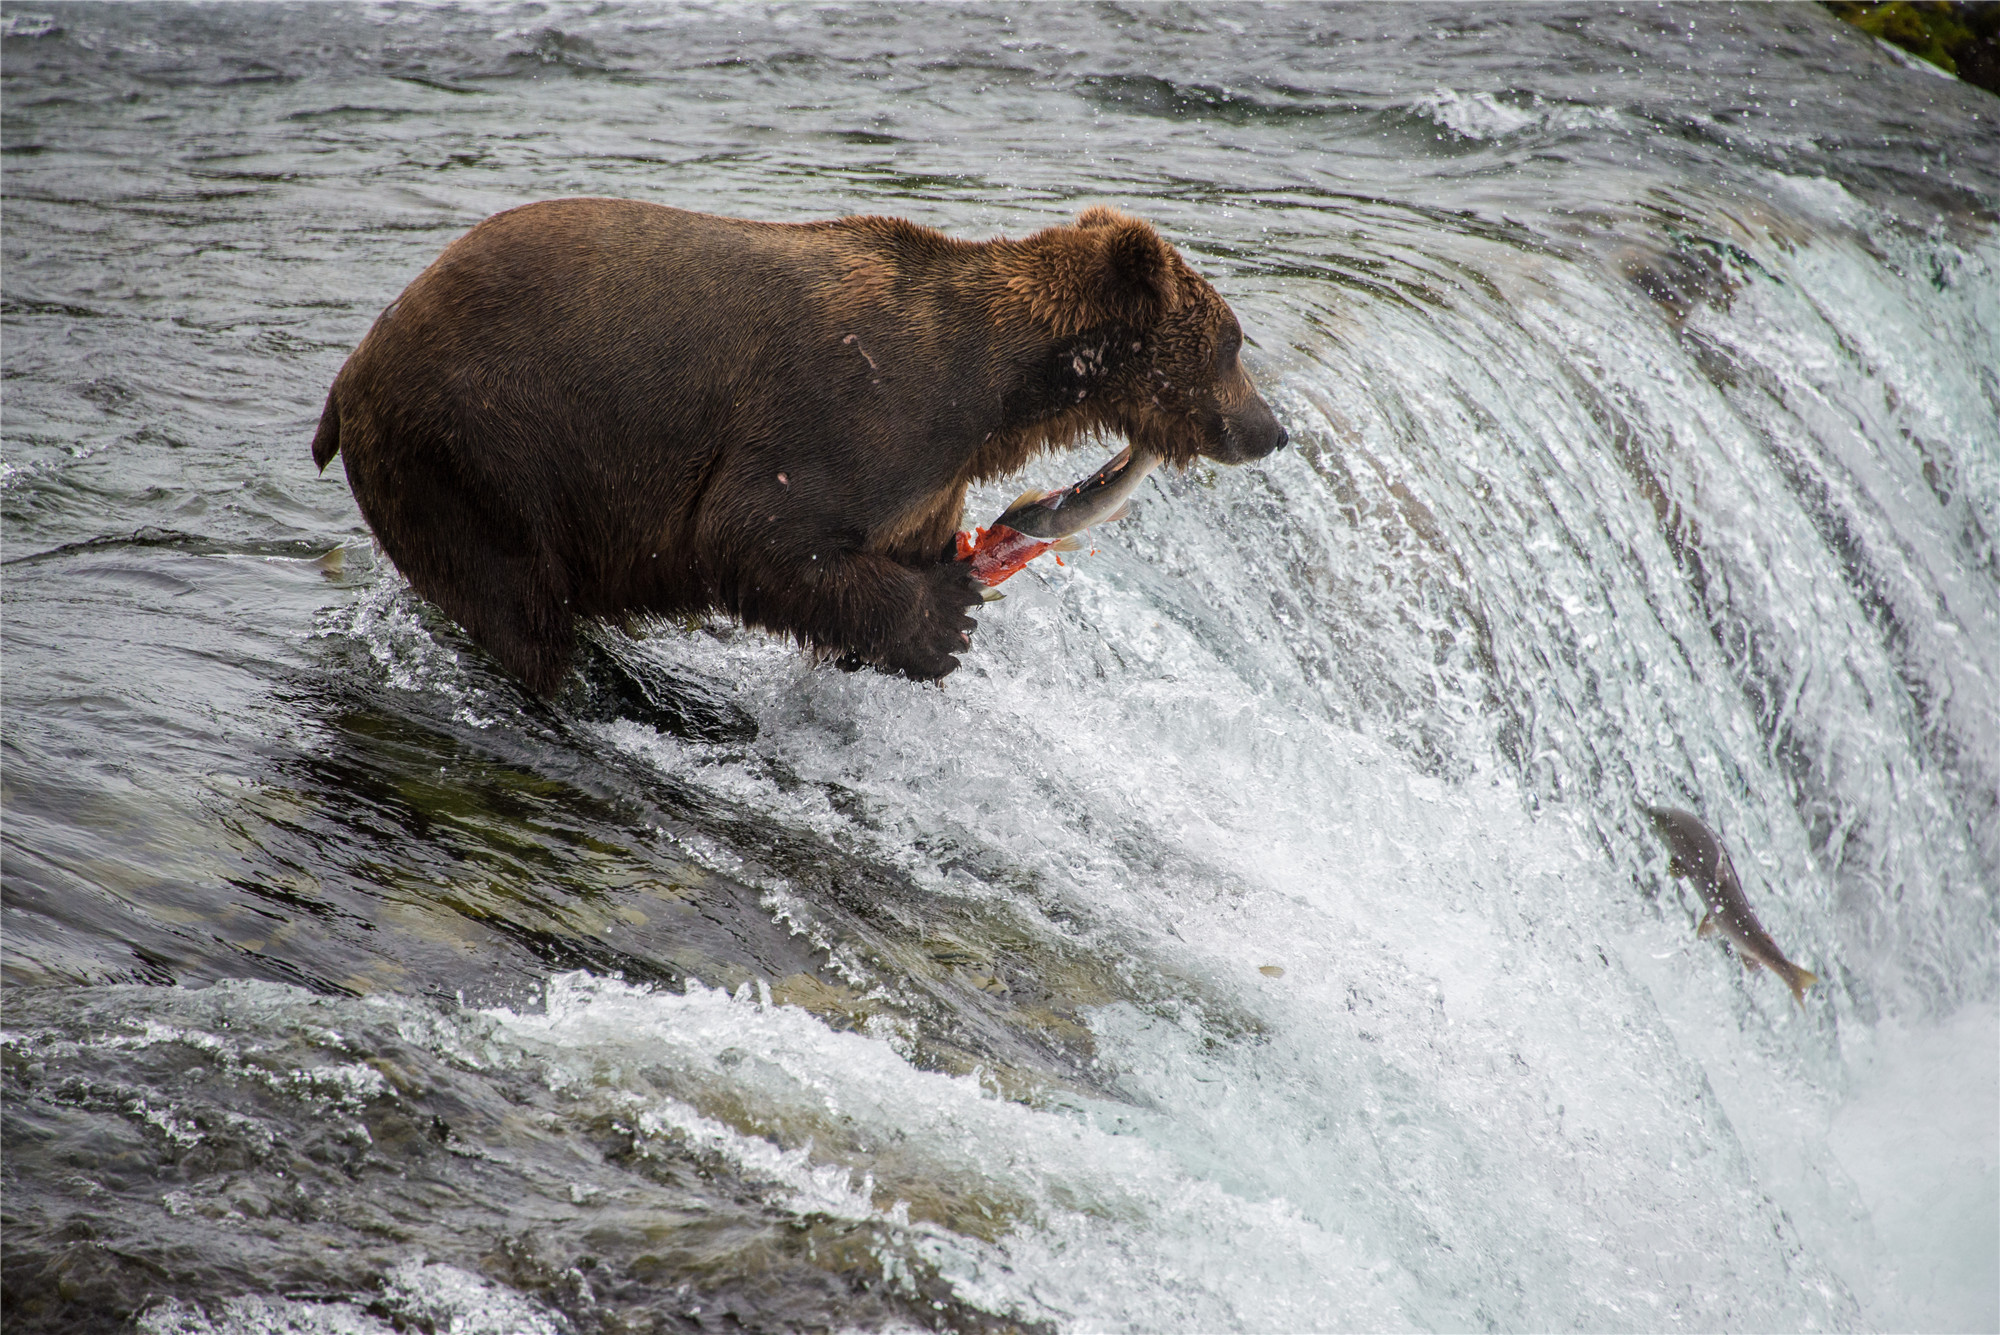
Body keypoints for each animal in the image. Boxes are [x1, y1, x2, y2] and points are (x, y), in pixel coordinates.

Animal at [308, 203, 1280, 699]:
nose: (1272, 429)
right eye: (1232, 343)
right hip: (477, 446)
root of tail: (349, 374)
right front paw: (946, 620)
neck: (995, 392)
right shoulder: (858, 411)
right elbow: (754, 530)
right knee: (516, 600)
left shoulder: (928, 481)